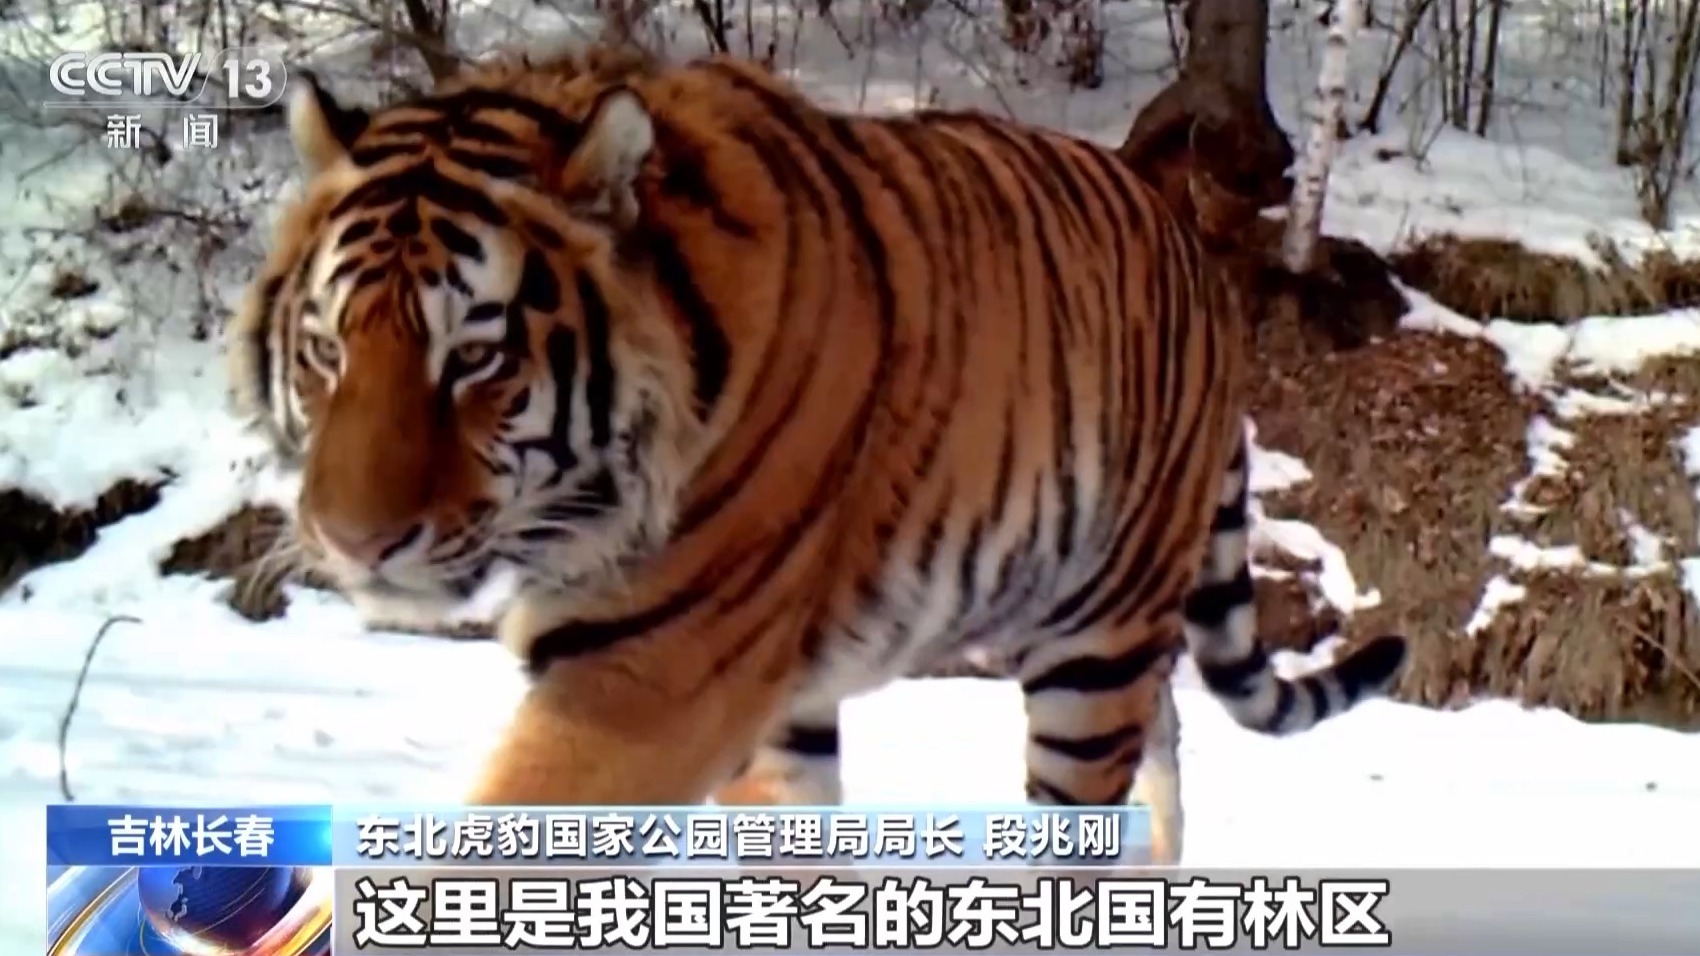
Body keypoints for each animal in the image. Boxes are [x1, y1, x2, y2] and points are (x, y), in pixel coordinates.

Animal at [228, 44, 1408, 865]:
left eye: (474, 356)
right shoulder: (761, 714)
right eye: (327, 349)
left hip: (1094, 648)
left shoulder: (651, 675)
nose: (353, 544)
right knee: (1164, 731)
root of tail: (1186, 243)